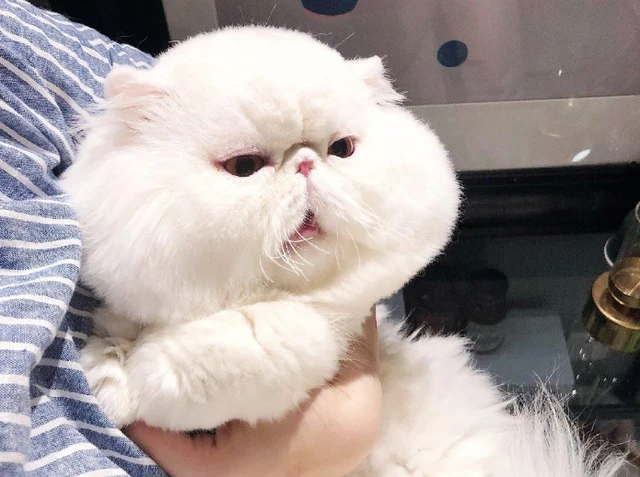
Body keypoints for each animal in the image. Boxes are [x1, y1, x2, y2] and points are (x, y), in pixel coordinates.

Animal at [60, 27, 627, 477]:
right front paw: (108, 362)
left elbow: (236, 347)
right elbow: (126, 334)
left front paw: (124, 383)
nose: (306, 164)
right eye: (244, 167)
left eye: (341, 150)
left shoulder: (325, 325)